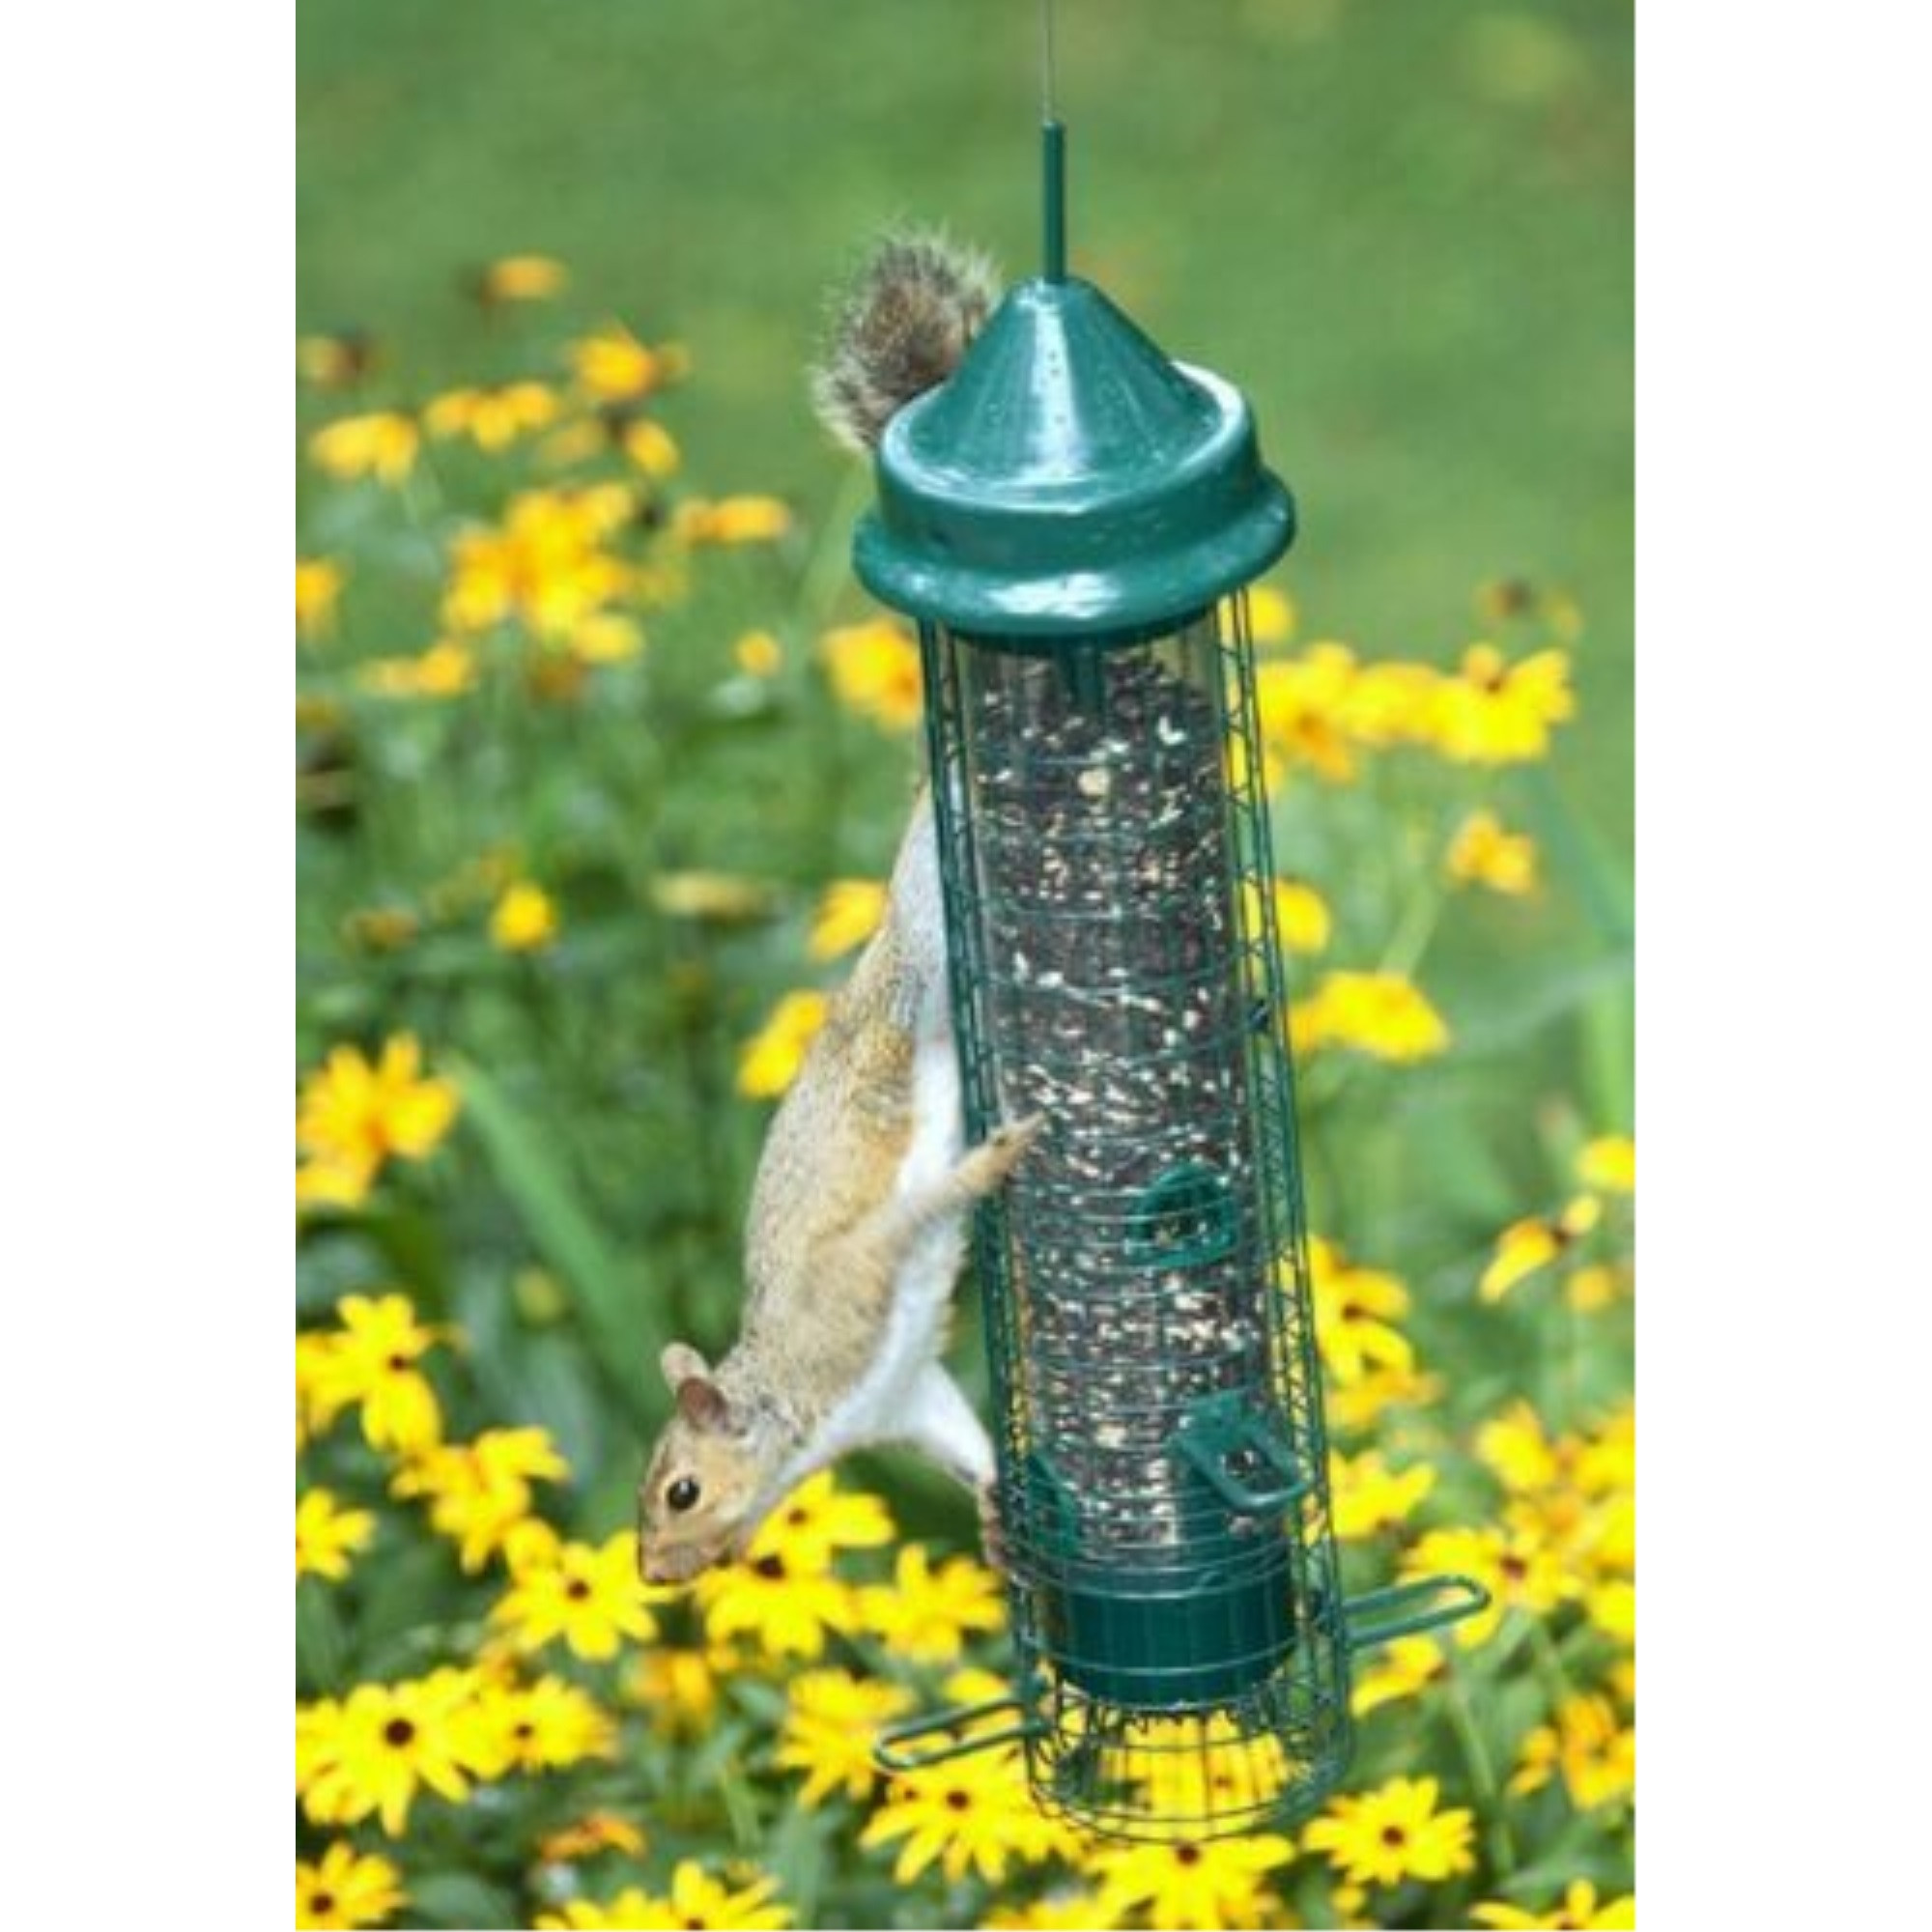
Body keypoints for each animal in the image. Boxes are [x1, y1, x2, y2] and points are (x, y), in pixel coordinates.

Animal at [638, 234, 1030, 1587]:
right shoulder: (908, 1394)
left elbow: (919, 1210)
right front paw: (994, 1512)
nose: (656, 1574)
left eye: (682, 1488)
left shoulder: (854, 1286)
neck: (808, 1408)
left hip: (918, 958)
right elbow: (963, 1438)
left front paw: (998, 1161)